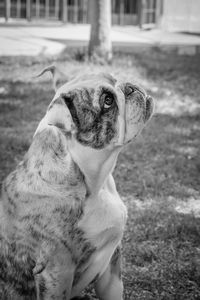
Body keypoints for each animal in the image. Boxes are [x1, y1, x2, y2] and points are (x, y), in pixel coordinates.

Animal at [0, 69, 155, 298]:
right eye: (107, 101)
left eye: (114, 79)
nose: (130, 87)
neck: (95, 184)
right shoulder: (56, 272)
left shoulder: (112, 268)